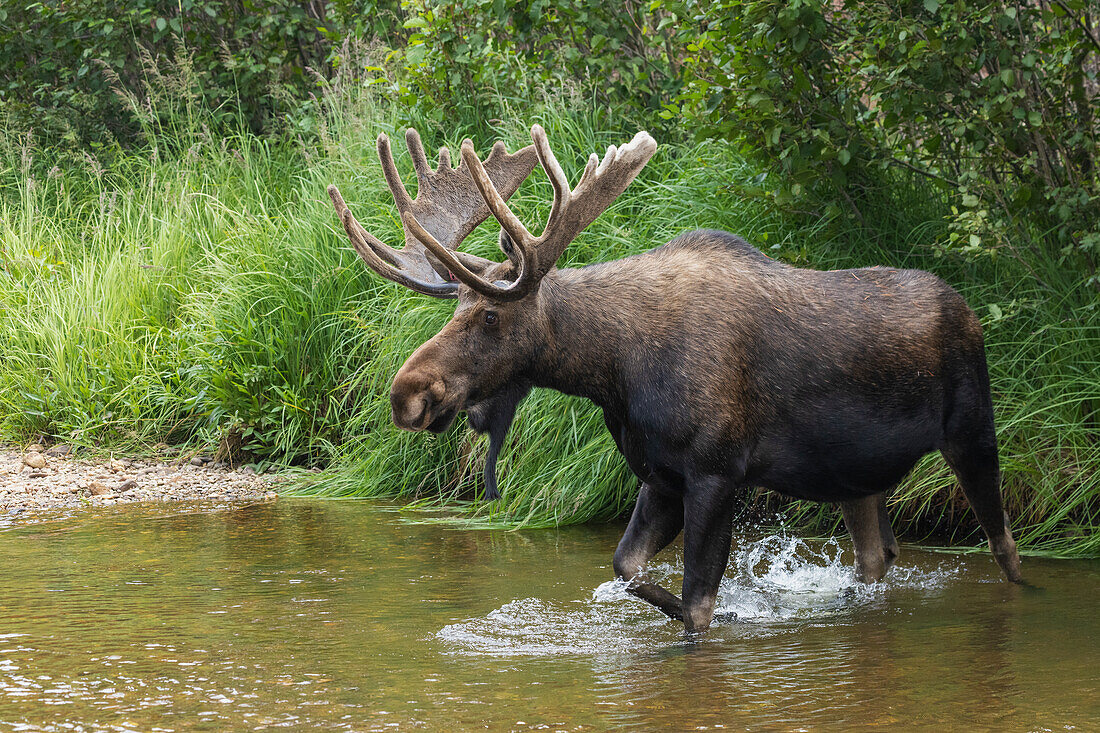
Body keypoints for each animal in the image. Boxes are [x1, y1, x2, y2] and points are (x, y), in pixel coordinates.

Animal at [323, 122, 1020, 629]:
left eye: (491, 313)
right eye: (457, 308)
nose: (407, 394)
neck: (613, 371)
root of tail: (969, 310)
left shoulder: (716, 471)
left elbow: (697, 603)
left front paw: (728, 611)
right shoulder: (659, 476)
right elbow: (625, 567)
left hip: (972, 429)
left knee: (1003, 545)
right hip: (855, 473)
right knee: (878, 558)